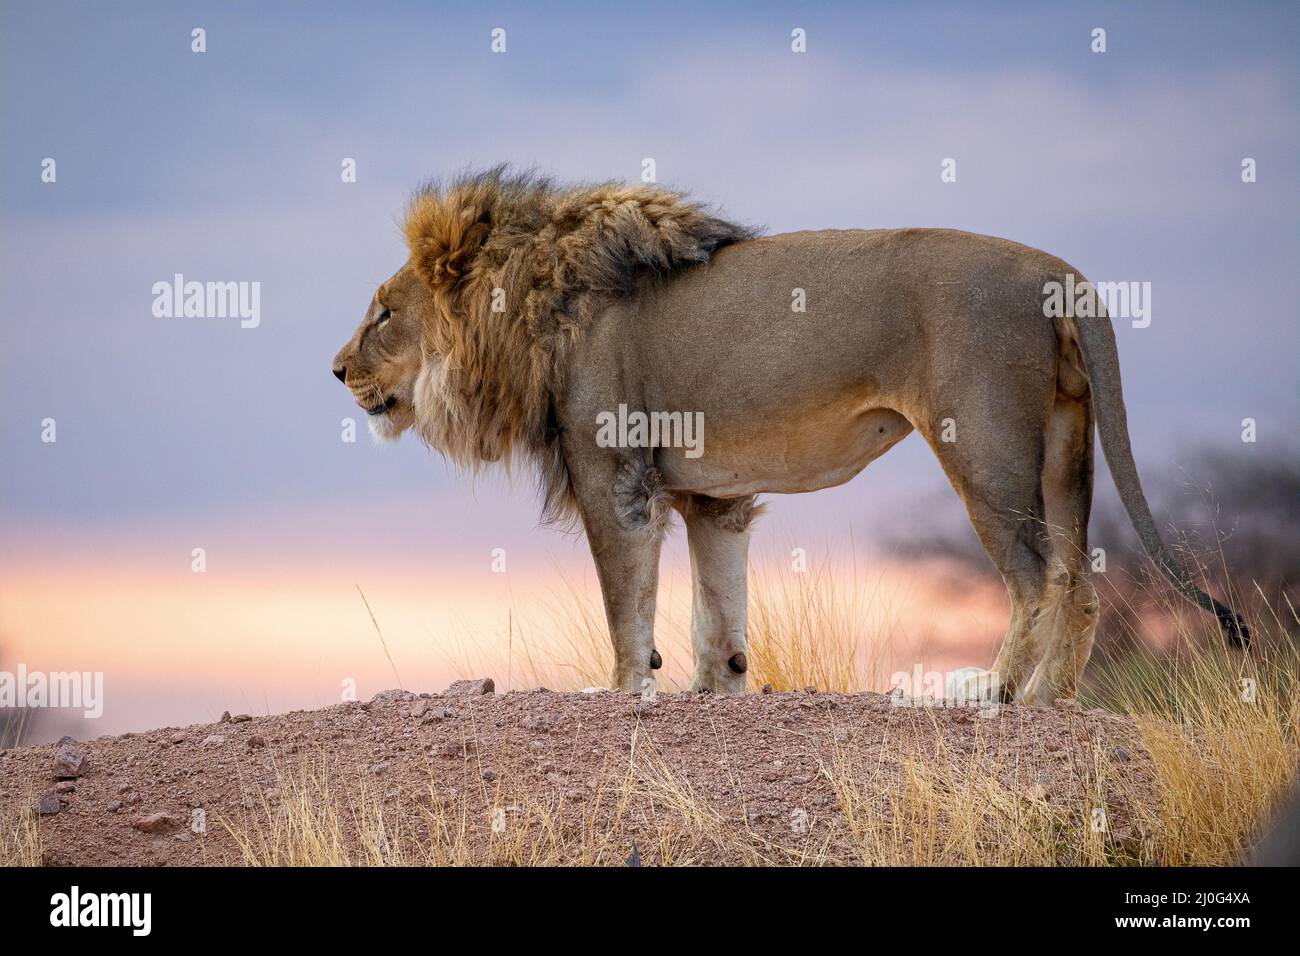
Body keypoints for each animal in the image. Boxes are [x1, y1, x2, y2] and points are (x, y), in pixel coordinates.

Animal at [330, 166, 1242, 702]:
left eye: (383, 314)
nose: (336, 371)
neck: (525, 311)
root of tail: (1063, 274)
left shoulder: (613, 477)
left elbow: (626, 606)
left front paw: (620, 690)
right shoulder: (710, 496)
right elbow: (718, 614)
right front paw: (716, 689)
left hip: (982, 446)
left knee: (1035, 576)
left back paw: (984, 694)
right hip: (1064, 444)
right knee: (1083, 579)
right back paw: (1052, 698)